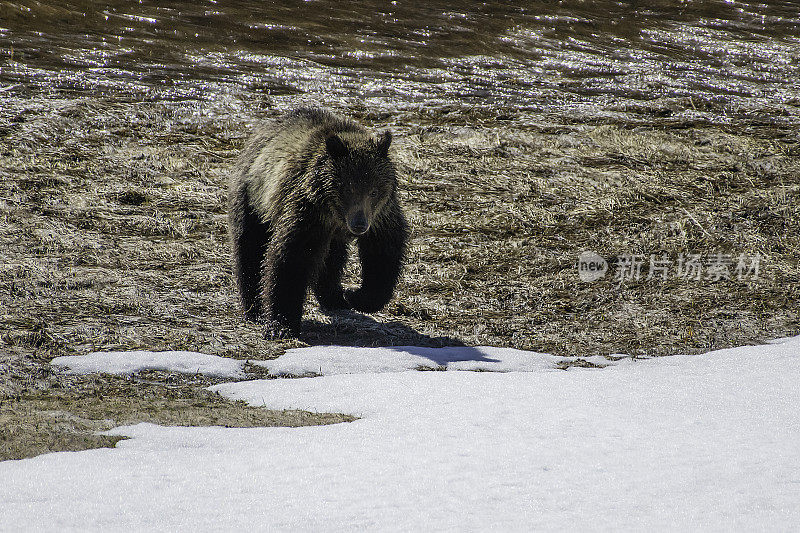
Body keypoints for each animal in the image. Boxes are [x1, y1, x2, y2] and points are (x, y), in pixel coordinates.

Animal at [228, 107, 410, 336]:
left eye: (374, 191)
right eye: (348, 189)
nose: (359, 224)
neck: (335, 215)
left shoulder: (382, 216)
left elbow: (383, 254)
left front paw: (356, 296)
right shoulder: (307, 212)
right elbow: (290, 259)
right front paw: (281, 324)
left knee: (331, 259)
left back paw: (334, 297)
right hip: (253, 200)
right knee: (249, 249)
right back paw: (254, 309)